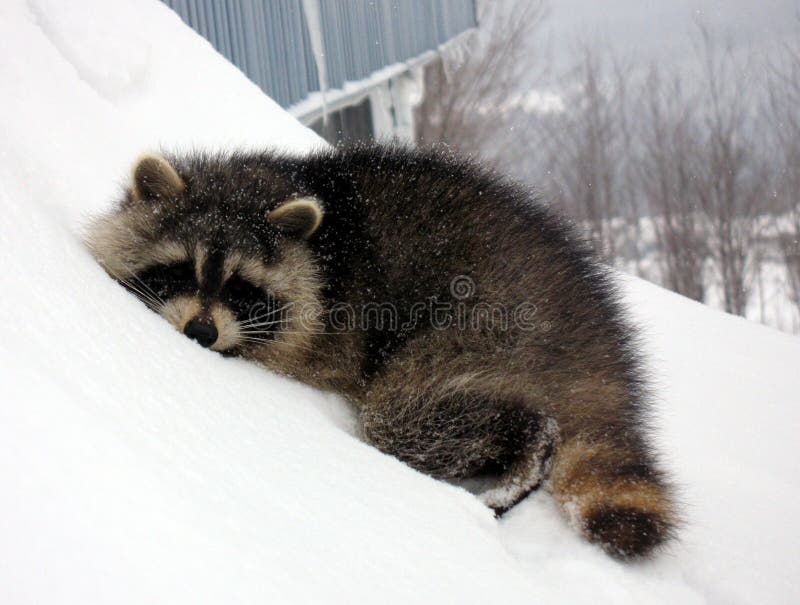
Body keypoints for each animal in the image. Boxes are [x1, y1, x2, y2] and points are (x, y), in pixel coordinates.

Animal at [86, 142, 676, 556]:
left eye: (241, 288)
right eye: (181, 270)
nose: (201, 334)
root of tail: (593, 331)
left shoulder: (328, 334)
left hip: (483, 328)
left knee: (405, 419)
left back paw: (526, 447)